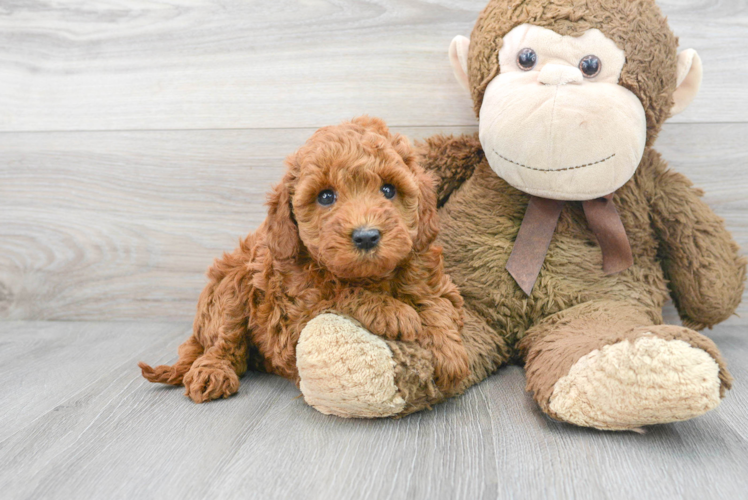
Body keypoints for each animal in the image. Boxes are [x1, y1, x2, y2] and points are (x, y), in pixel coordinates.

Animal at [140, 116, 468, 402]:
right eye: (325, 197)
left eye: (389, 189)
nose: (366, 236)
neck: (370, 276)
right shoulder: (290, 317)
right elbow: (339, 293)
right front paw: (392, 311)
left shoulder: (433, 278)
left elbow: (438, 304)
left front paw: (449, 353)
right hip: (231, 287)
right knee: (223, 342)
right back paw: (213, 372)